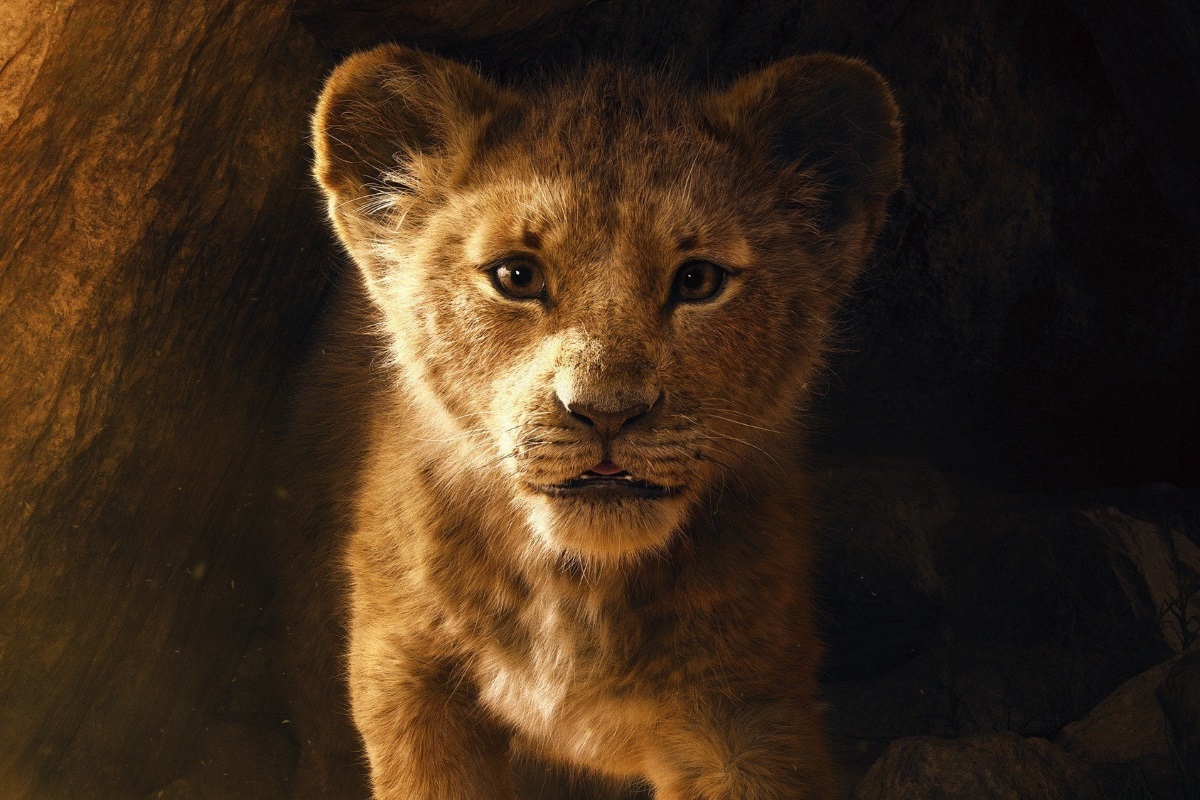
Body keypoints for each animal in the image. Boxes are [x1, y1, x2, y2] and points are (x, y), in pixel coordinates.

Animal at [277, 44, 901, 800]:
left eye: (698, 281)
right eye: (516, 276)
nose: (607, 411)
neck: (578, 590)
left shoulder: (748, 715)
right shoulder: (404, 673)